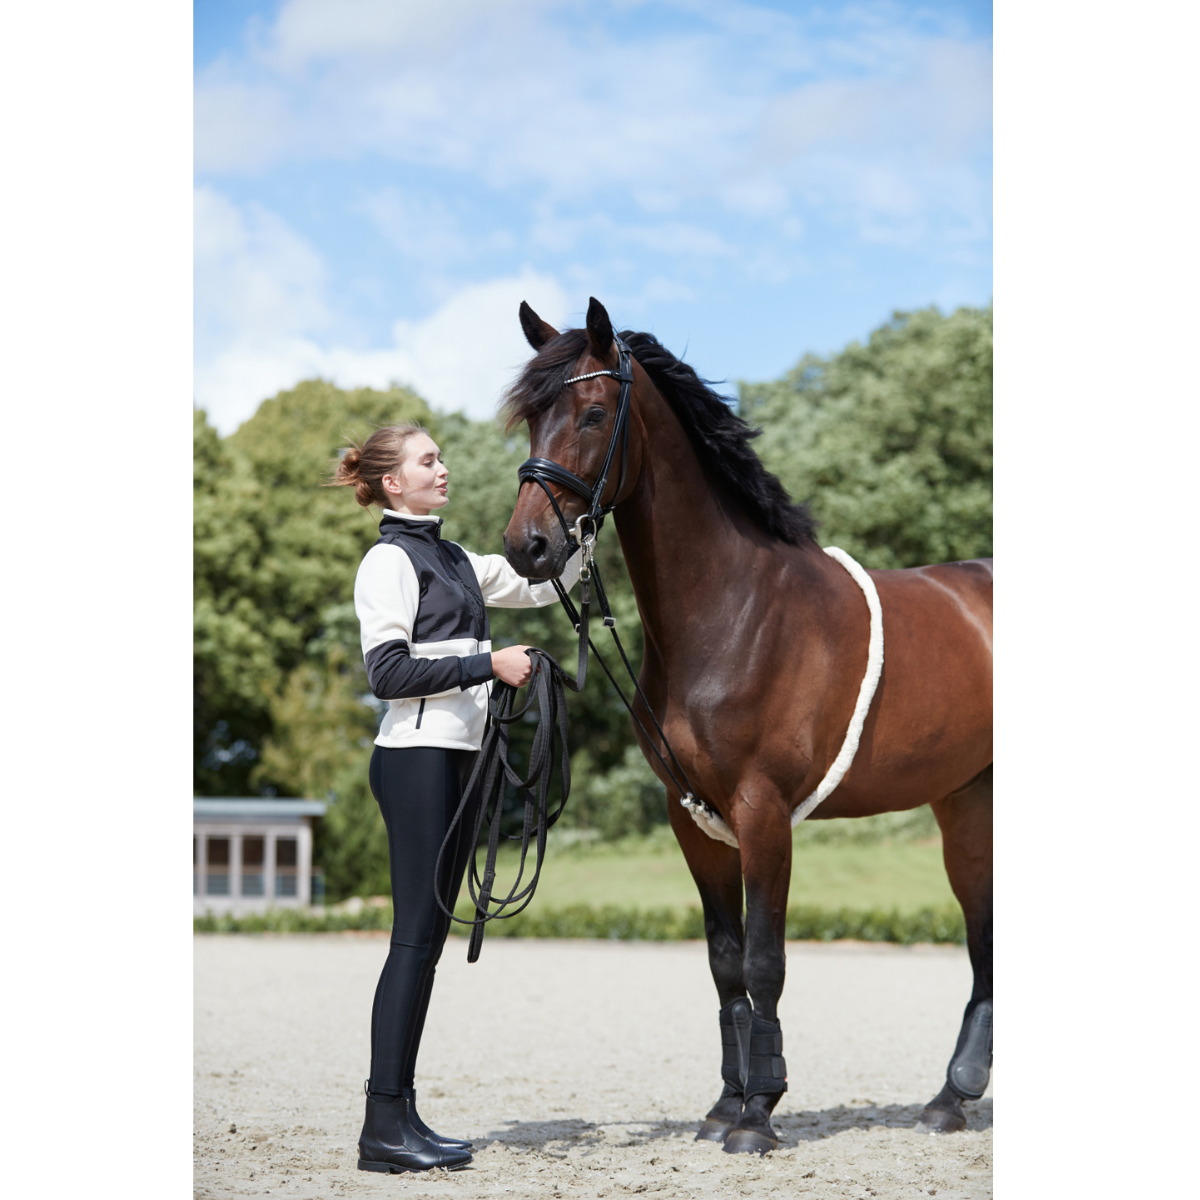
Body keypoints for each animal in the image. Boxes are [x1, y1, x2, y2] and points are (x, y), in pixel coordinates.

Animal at [500, 297, 993, 1155]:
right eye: (531, 417)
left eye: (592, 413)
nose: (527, 545)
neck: (733, 611)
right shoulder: (693, 818)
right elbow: (725, 962)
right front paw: (727, 1104)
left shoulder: (764, 813)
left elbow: (766, 961)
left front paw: (760, 1115)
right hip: (964, 803)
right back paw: (950, 1099)